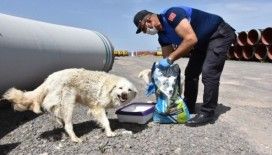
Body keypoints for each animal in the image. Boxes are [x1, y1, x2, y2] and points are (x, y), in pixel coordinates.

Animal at [2, 68, 137, 142]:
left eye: (129, 90)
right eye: (120, 88)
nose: (124, 94)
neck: (110, 87)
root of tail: (49, 78)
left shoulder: (96, 107)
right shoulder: (97, 107)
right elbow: (106, 121)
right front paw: (109, 132)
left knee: (53, 110)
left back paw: (60, 121)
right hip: (68, 102)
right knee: (65, 123)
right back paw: (74, 138)